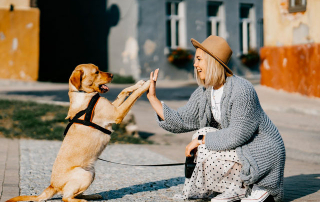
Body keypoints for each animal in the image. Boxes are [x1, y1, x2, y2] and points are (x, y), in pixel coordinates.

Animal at [7, 63, 150, 202]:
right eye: (96, 72)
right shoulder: (117, 113)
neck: (83, 94)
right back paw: (83, 200)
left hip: (91, 172)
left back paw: (92, 196)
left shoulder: (113, 107)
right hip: (85, 174)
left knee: (76, 194)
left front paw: (138, 84)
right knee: (66, 197)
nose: (112, 75)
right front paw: (147, 85)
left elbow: (123, 91)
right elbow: (134, 96)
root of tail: (52, 186)